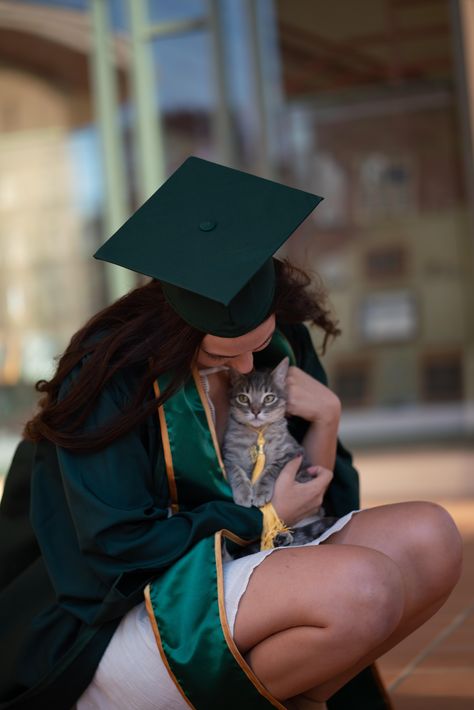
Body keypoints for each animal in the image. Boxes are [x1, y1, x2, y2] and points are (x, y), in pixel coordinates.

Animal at [222, 358, 336, 548]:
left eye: (269, 398)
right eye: (243, 398)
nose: (255, 411)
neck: (258, 433)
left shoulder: (290, 453)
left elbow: (270, 470)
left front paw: (260, 491)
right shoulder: (229, 456)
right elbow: (237, 473)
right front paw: (244, 494)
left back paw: (283, 536)